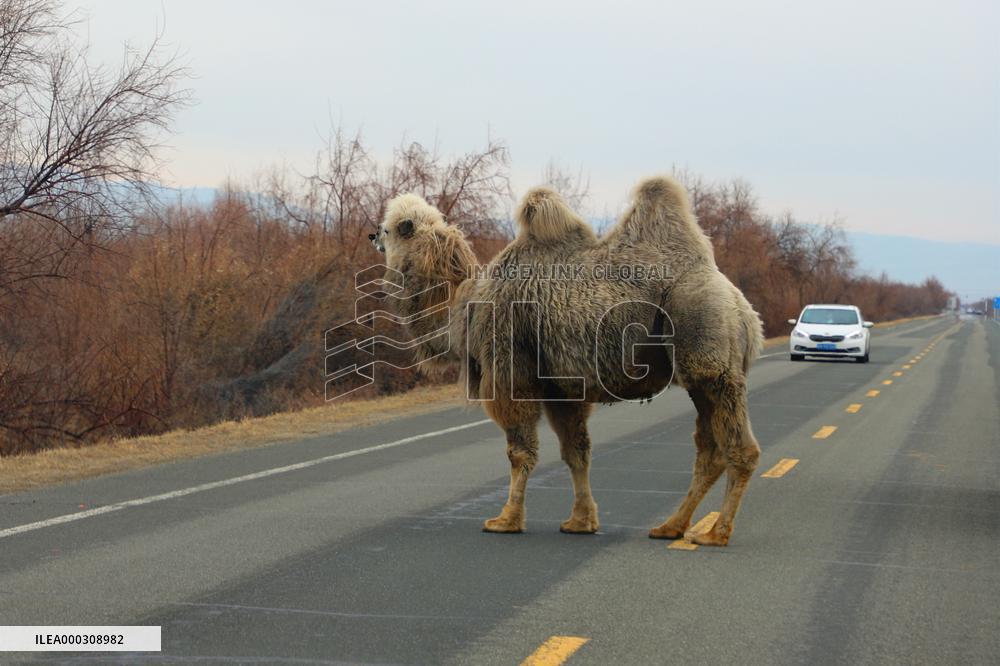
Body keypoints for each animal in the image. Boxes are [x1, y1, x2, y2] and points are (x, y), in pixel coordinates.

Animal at [369, 176, 763, 546]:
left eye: (391, 226)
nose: (372, 234)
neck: (464, 307)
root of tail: (744, 310)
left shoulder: (510, 365)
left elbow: (519, 451)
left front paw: (505, 520)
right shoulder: (560, 388)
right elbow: (576, 452)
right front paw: (580, 521)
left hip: (708, 348)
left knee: (739, 447)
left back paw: (715, 533)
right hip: (701, 375)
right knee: (709, 449)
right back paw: (671, 526)